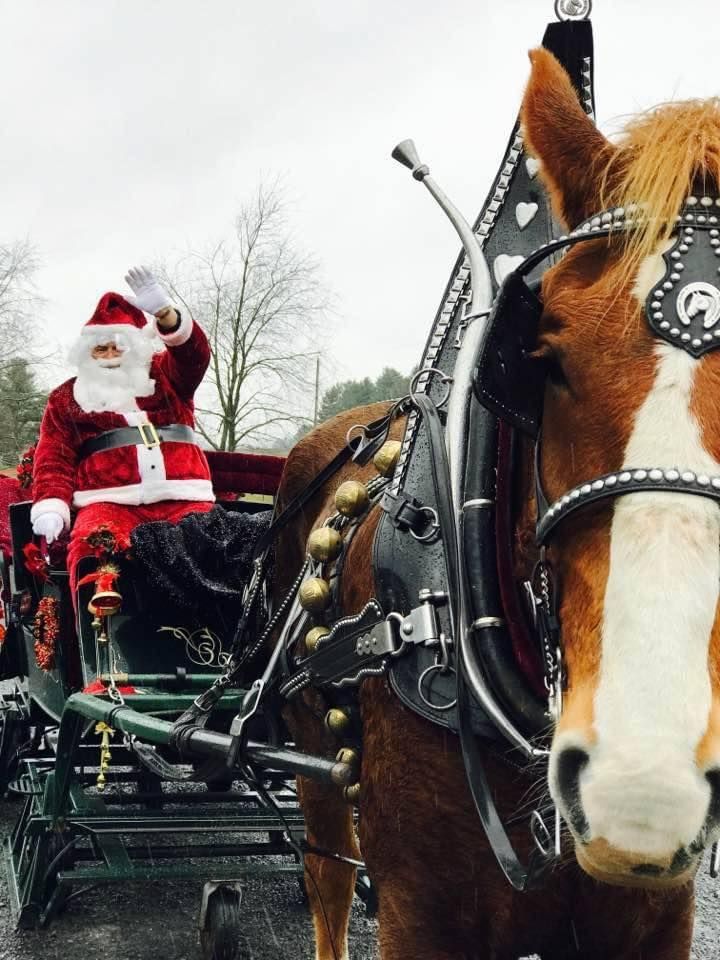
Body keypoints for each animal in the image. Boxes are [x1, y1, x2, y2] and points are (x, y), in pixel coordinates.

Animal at [276, 50, 720, 960]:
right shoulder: (419, 913)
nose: (644, 781)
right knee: (328, 879)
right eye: (543, 357)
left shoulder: (659, 919)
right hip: (313, 761)